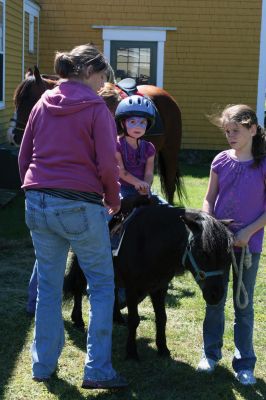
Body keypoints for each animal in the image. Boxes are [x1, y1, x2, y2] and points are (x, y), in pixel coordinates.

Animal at [7, 66, 183, 203]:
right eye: (16, 100)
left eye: (29, 99)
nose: (13, 136)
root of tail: (168, 97)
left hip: (170, 152)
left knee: (170, 185)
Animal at [64, 202, 233, 360]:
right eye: (202, 252)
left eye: (227, 254)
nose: (216, 295)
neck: (149, 241)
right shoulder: (132, 288)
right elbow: (134, 320)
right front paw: (132, 352)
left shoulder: (160, 287)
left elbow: (162, 318)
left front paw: (163, 348)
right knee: (78, 287)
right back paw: (78, 319)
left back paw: (116, 317)